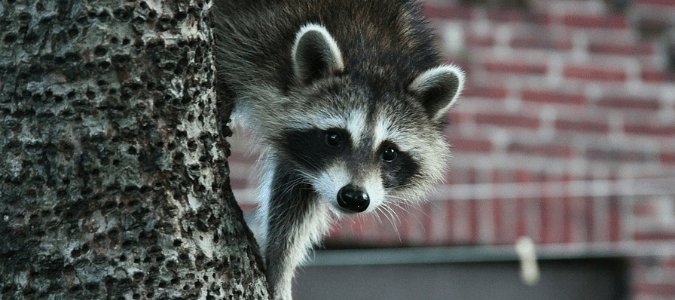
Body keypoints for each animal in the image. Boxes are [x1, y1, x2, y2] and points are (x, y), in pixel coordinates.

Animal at [215, 1, 464, 298]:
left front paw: (280, 264)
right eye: (334, 137)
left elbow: (296, 198)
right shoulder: (253, 36)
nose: (354, 198)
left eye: (389, 152)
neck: (373, 54)